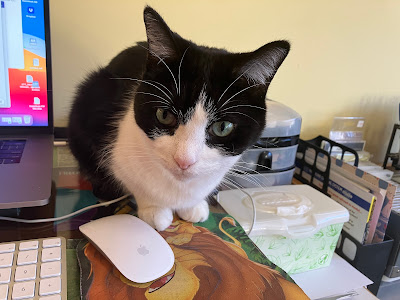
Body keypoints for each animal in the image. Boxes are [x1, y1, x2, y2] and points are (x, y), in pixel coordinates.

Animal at [67, 6, 290, 230]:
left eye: (223, 127)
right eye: (164, 115)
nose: (184, 161)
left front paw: (194, 206)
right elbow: (134, 181)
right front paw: (154, 209)